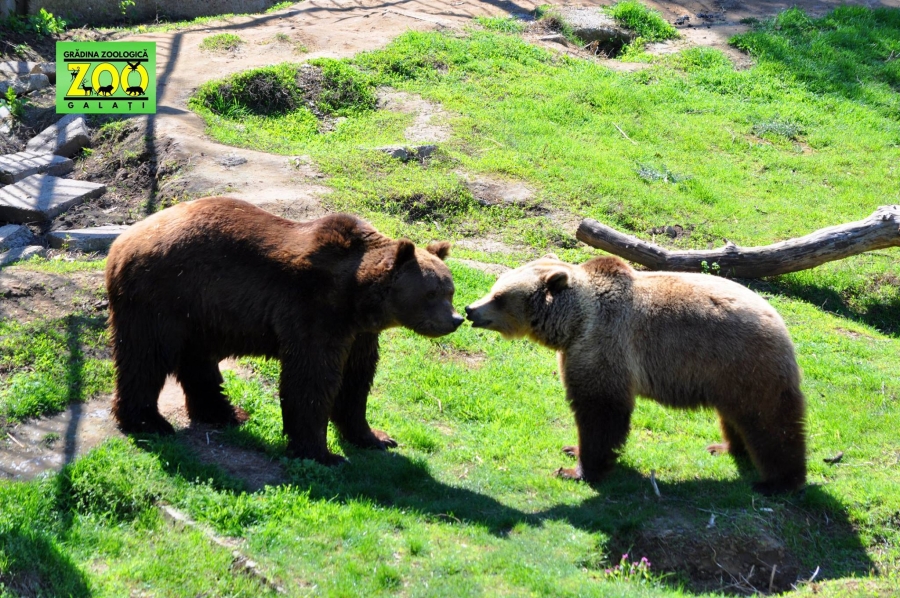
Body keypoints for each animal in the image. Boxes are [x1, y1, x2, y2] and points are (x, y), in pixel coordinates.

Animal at [103, 199, 464, 466]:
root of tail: (120, 242)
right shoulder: (314, 310)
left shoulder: (359, 332)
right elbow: (311, 379)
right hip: (162, 294)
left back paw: (225, 413)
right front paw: (323, 454)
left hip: (200, 309)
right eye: (431, 293)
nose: (456, 319)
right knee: (146, 356)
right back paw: (149, 421)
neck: (358, 297)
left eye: (450, 290)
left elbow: (356, 380)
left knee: (197, 360)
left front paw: (375, 436)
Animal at [468, 255, 804, 494]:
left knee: (770, 420)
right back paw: (724, 447)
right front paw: (571, 449)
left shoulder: (605, 345)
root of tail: (780, 322)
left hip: (744, 361)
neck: (573, 323)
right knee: (736, 415)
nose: (471, 309)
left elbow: (601, 411)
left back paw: (778, 482)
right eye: (495, 286)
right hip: (726, 374)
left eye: (499, 296)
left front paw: (578, 470)